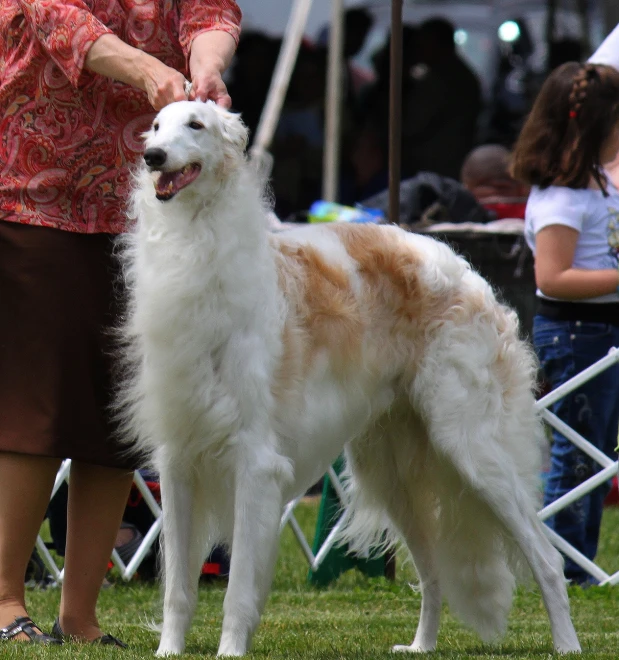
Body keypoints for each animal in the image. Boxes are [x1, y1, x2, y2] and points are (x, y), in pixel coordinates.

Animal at [120, 99, 580, 656]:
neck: (196, 249)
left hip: (474, 448)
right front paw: (169, 650)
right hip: (393, 473)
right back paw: (420, 645)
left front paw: (229, 650)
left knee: (547, 558)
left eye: (196, 124)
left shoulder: (256, 462)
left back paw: (567, 643)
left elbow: (237, 590)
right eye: (156, 126)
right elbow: (178, 590)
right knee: (433, 575)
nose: (152, 156)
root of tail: (469, 274)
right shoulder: (178, 463)